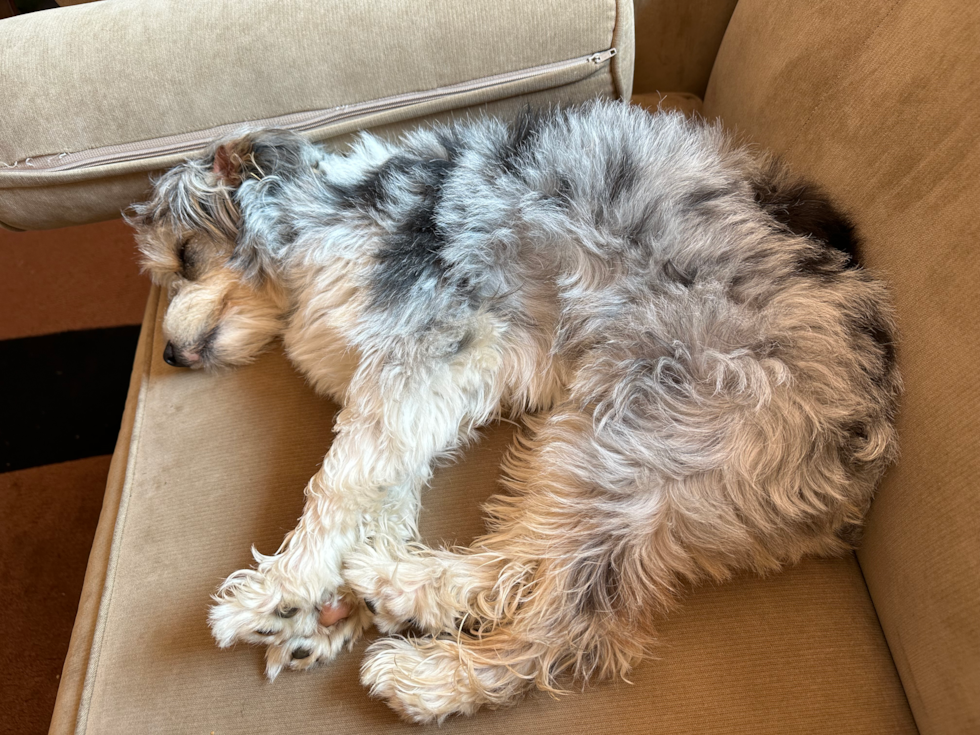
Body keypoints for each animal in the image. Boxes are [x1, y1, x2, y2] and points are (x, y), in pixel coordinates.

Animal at [130, 102, 904, 724]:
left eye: (186, 256)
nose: (166, 353)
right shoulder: (428, 382)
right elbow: (386, 485)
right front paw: (323, 611)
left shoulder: (423, 348)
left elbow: (340, 484)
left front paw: (282, 592)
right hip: (605, 441)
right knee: (525, 560)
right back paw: (399, 586)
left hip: (638, 424)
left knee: (569, 625)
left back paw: (428, 677)